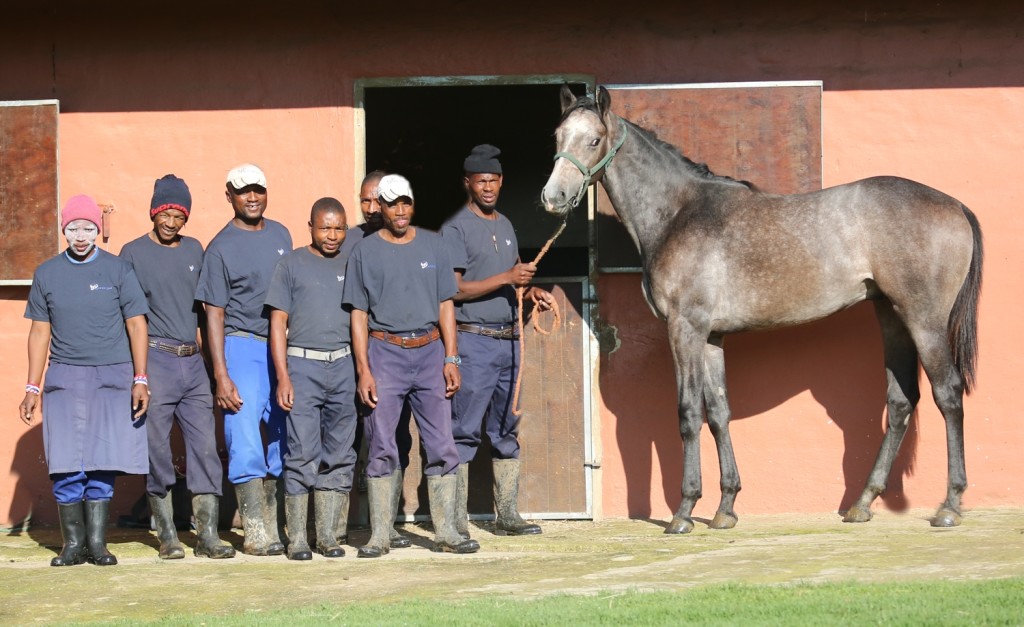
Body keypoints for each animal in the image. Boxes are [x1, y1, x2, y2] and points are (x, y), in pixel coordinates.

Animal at [541, 85, 983, 534]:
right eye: (557, 137)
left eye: (594, 140)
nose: (553, 198)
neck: (680, 213)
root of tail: (954, 205)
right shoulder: (711, 336)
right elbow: (719, 412)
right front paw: (725, 508)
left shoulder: (685, 329)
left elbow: (688, 413)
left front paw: (684, 511)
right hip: (891, 316)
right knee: (901, 401)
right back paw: (862, 503)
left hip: (924, 320)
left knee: (948, 394)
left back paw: (949, 505)